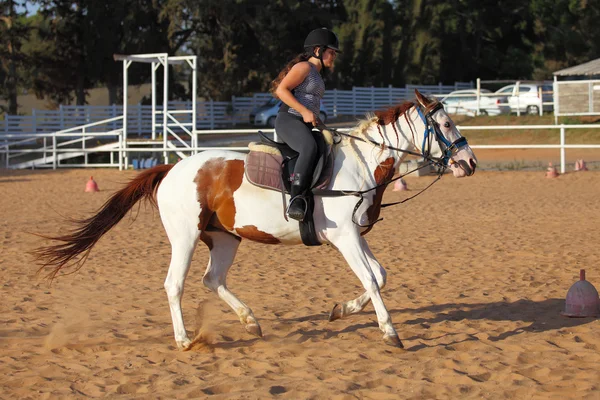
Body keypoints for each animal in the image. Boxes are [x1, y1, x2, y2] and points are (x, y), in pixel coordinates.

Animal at [35, 90, 478, 350]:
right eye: (446, 123)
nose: (470, 162)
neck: (361, 163)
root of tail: (171, 168)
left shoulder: (355, 235)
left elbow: (380, 276)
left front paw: (341, 310)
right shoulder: (345, 237)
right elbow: (371, 278)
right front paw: (390, 331)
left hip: (225, 238)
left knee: (212, 280)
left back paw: (250, 323)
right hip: (185, 237)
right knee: (175, 284)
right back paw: (184, 339)